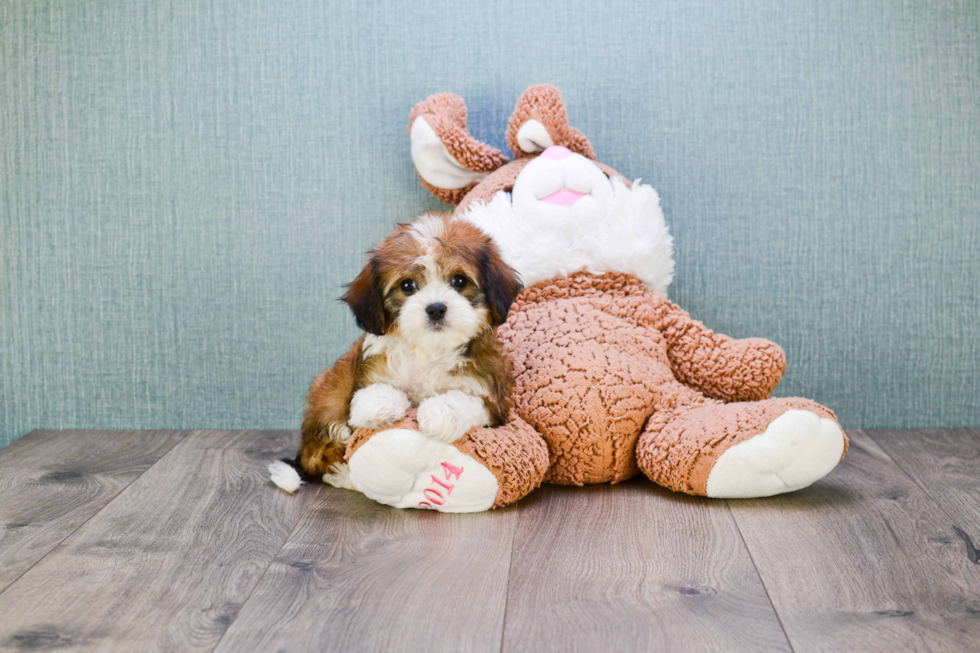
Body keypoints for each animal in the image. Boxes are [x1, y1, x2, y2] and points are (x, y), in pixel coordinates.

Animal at [268, 211, 524, 492]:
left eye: (459, 281)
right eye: (407, 285)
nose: (436, 308)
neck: (429, 350)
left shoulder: (492, 397)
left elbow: (465, 399)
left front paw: (440, 412)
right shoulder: (367, 374)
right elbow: (368, 396)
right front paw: (381, 405)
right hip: (325, 397)